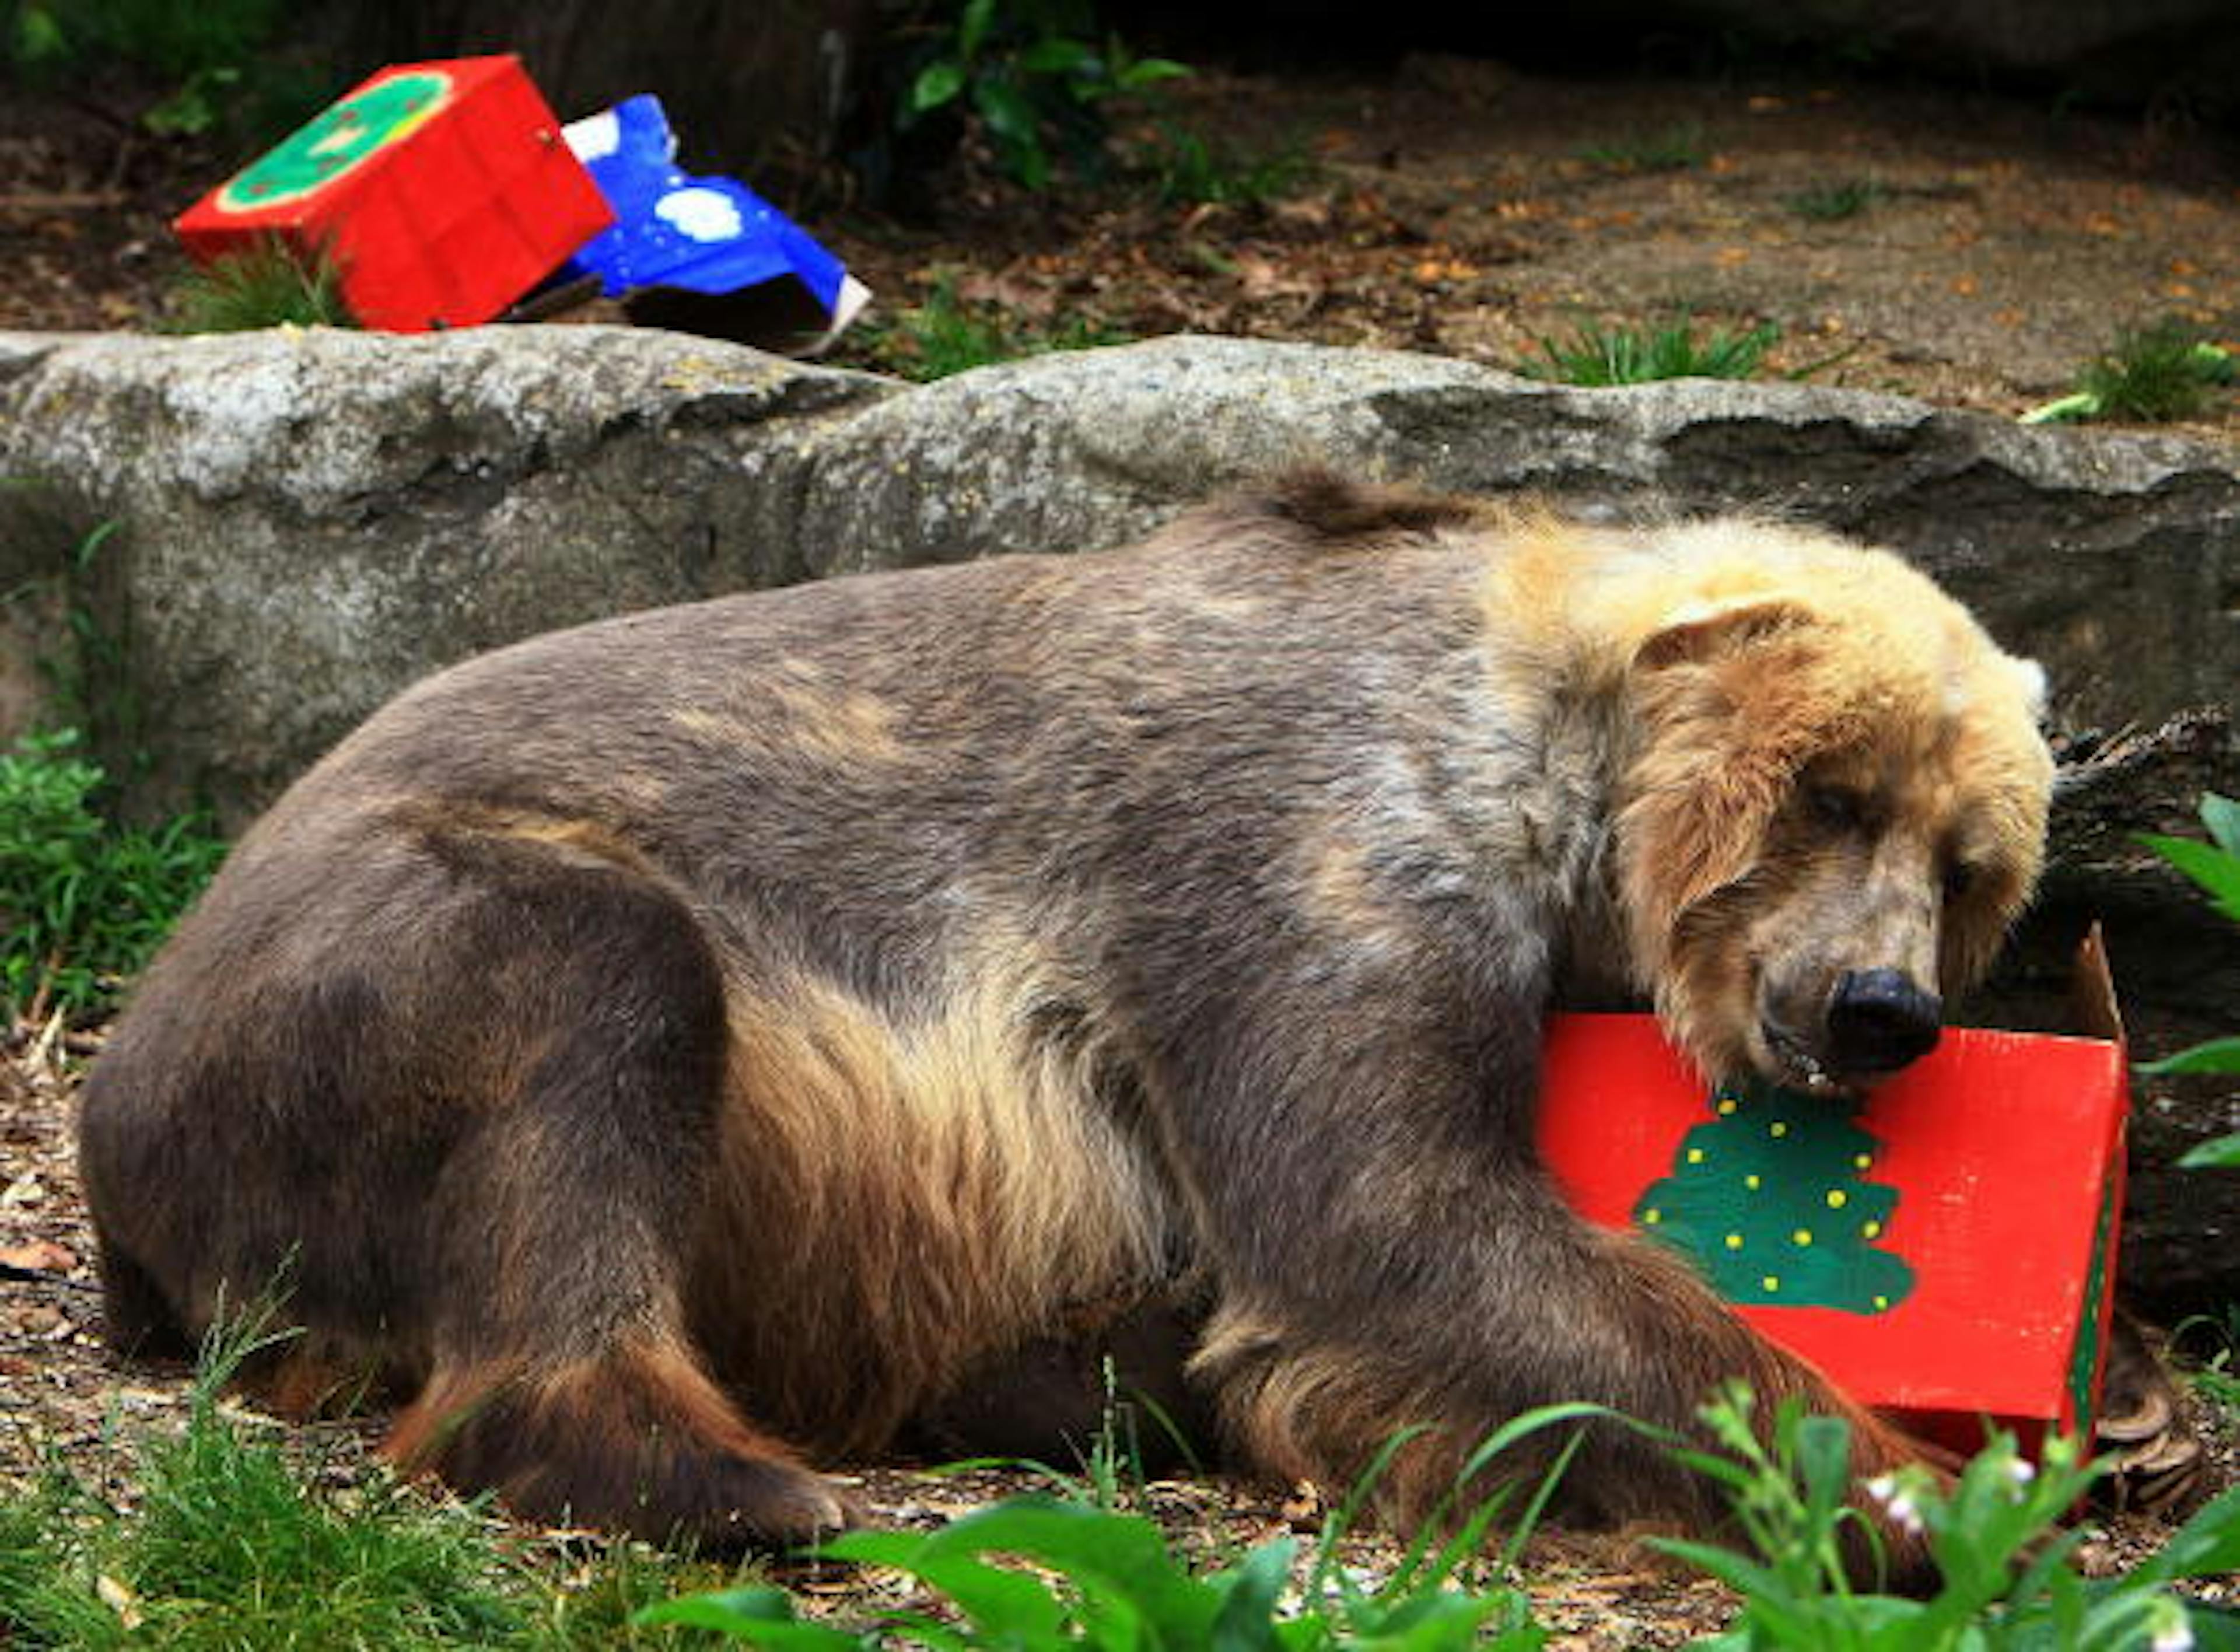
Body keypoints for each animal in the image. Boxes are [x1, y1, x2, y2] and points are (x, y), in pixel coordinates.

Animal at [75, 472, 2054, 1574]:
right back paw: (724, 1474)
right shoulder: (1301, 840)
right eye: (1830, 791)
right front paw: (1916, 1495)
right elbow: (1384, 1213)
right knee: (597, 1003)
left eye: (1969, 863)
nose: (1879, 1007)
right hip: (362, 957)